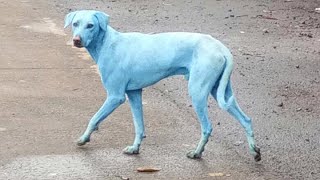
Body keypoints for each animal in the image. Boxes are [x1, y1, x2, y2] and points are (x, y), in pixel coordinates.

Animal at [64, 10, 260, 162]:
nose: (76, 40)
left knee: (207, 127)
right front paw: (135, 148)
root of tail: (220, 47)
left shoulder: (115, 96)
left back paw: (197, 153)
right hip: (221, 92)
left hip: (197, 92)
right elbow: (139, 126)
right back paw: (255, 151)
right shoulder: (134, 93)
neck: (107, 43)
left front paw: (83, 139)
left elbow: (94, 118)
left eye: (90, 25)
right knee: (246, 119)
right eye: (75, 24)